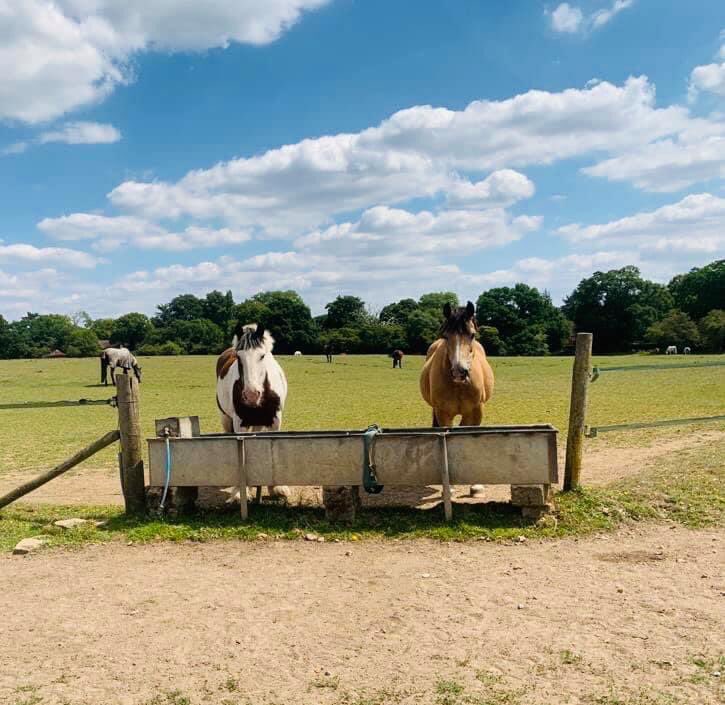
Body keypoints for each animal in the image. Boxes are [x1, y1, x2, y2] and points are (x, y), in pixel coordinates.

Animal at [216, 324, 289, 501]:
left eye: (262, 356)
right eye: (239, 358)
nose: (251, 395)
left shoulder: (275, 420)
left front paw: (275, 487)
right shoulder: (239, 423)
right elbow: (240, 454)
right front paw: (239, 492)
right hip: (226, 418)